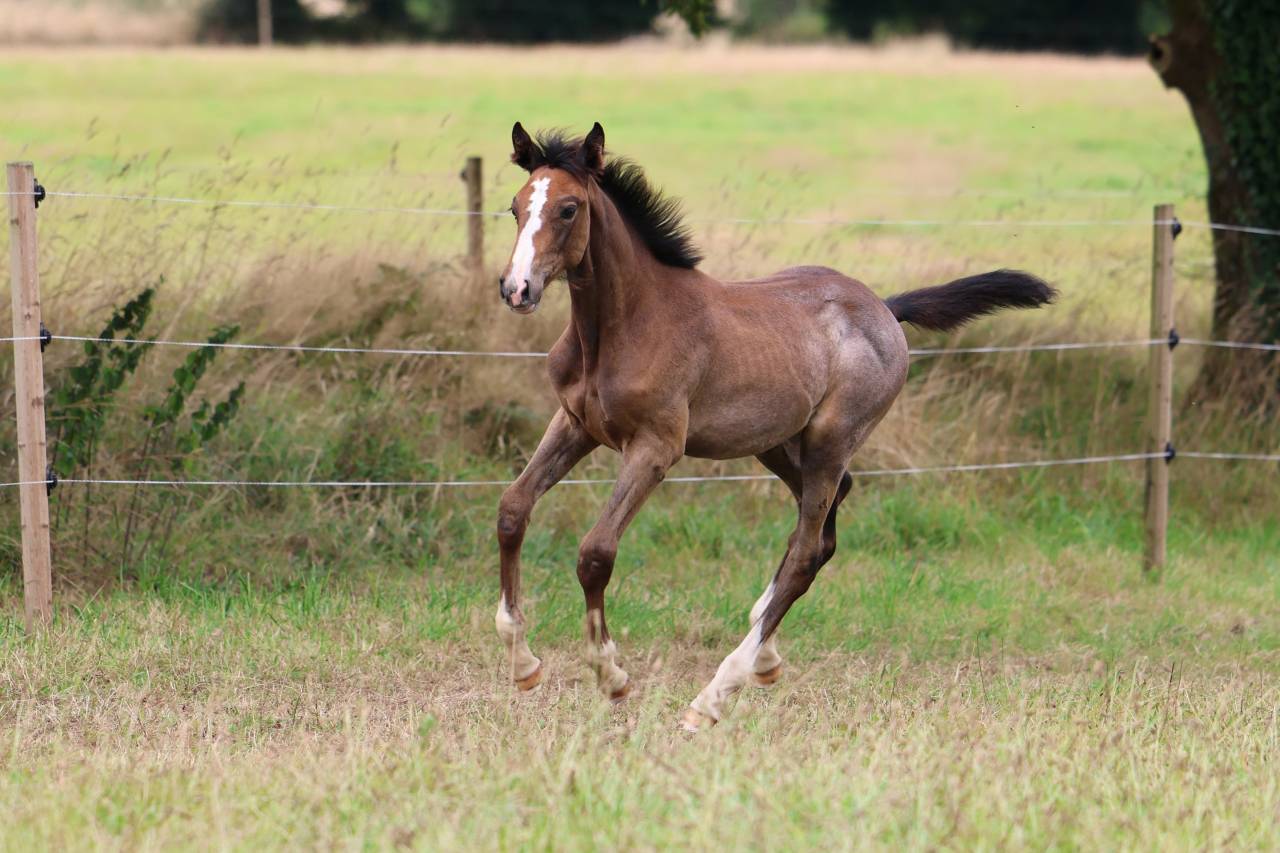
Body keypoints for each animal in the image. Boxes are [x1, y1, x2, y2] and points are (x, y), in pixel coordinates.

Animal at [493, 122, 1054, 731]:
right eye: (516, 207)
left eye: (569, 208)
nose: (517, 289)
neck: (624, 326)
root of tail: (883, 307)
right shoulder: (575, 424)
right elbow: (512, 510)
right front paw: (523, 666)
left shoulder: (656, 448)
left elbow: (595, 552)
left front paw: (611, 675)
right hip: (777, 444)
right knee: (824, 524)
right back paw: (763, 652)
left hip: (830, 440)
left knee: (807, 550)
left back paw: (713, 696)